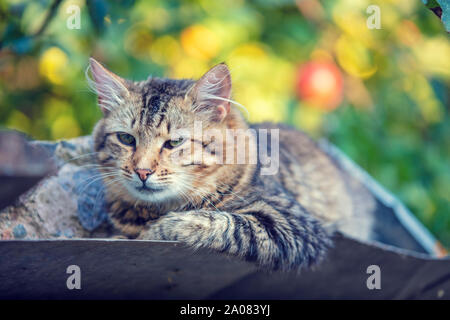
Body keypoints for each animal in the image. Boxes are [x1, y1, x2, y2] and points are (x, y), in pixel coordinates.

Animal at [88, 57, 356, 270]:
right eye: (126, 139)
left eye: (174, 142)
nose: (142, 171)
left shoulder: (293, 223)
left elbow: (222, 222)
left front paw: (157, 230)